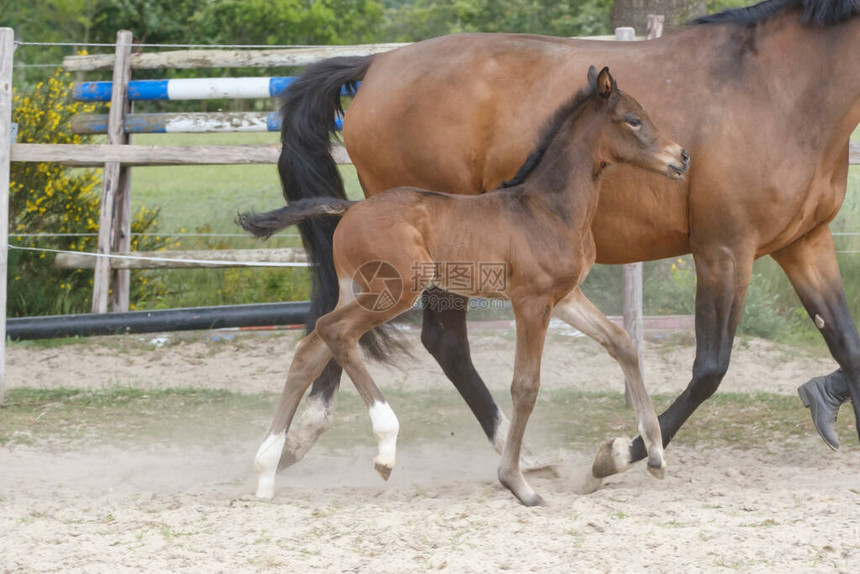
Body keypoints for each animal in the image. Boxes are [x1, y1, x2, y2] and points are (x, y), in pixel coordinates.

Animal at [245, 68, 688, 508]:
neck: (549, 210)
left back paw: (266, 471)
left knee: (310, 349)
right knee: (336, 332)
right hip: (398, 289)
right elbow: (525, 385)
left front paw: (654, 455)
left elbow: (622, 343)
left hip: (355, 290)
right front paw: (517, 483)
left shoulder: (566, 298)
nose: (681, 157)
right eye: (633, 120)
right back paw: (384, 448)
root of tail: (351, 208)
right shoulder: (531, 302)